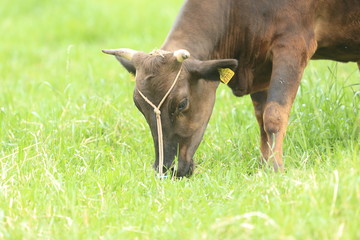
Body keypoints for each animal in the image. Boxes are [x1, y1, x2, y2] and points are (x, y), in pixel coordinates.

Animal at [102, 0, 360, 176]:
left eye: (182, 104)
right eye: (139, 106)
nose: (166, 169)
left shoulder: (293, 43)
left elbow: (273, 115)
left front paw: (275, 168)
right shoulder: (261, 66)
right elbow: (261, 119)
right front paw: (263, 164)